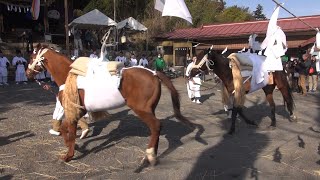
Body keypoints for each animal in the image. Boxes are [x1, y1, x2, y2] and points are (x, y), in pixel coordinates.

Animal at [25, 44, 195, 167]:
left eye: (32, 56)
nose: (28, 73)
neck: (69, 75)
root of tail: (154, 73)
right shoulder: (78, 111)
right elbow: (67, 129)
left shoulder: (72, 110)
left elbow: (69, 131)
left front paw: (68, 155)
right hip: (149, 109)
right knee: (156, 129)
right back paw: (151, 155)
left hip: (142, 110)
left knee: (156, 126)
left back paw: (150, 155)